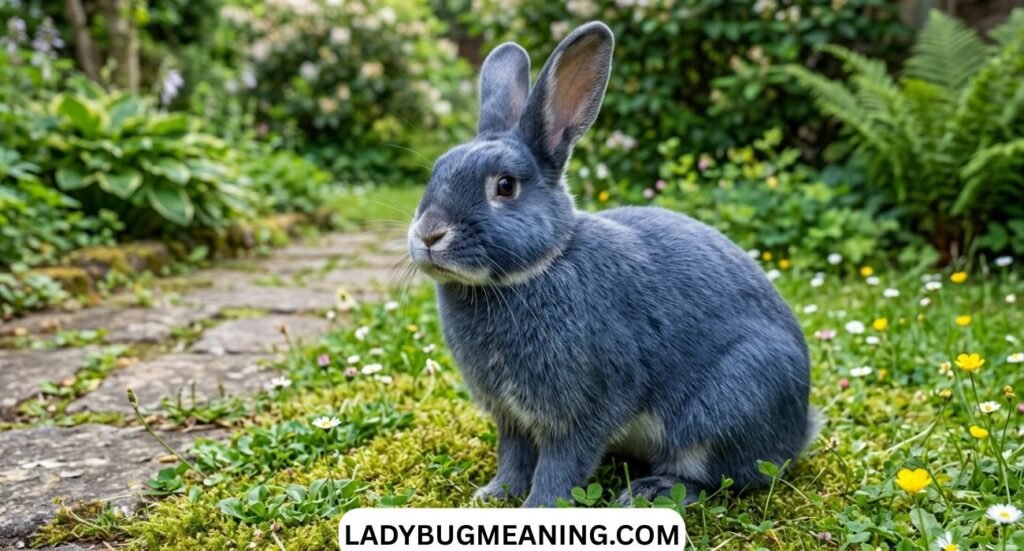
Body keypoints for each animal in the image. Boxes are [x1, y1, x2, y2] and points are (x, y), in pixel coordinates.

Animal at [407, 21, 818, 508]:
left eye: (505, 186)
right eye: (436, 172)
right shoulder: (512, 418)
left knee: (717, 478)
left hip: (727, 403)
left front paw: (536, 508)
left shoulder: (581, 411)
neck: (533, 272)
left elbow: (560, 467)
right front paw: (492, 496)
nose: (429, 233)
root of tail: (799, 429)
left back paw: (649, 491)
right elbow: (514, 457)